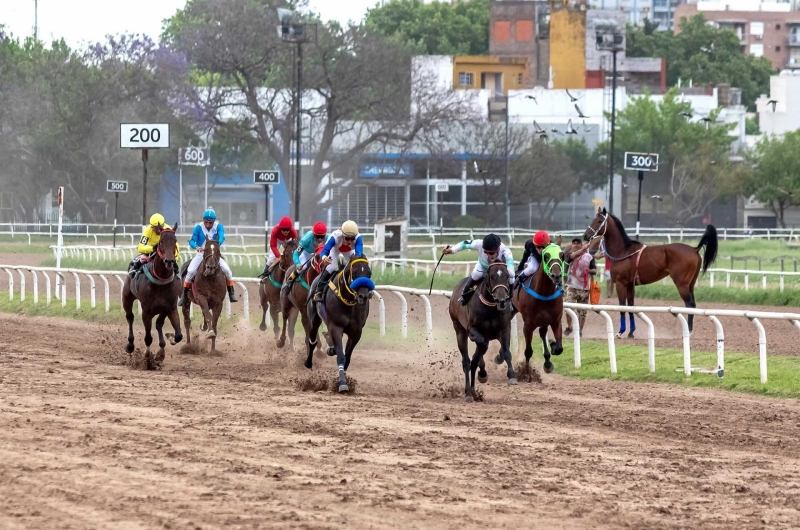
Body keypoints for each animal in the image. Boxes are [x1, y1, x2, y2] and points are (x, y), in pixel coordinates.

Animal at [122, 227, 183, 368]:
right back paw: (130, 345)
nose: (169, 261)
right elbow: (148, 338)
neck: (160, 280)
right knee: (130, 317)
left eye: (175, 240)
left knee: (159, 323)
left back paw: (161, 351)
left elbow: (178, 335)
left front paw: (169, 339)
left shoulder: (171, 307)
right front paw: (148, 357)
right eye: (161, 241)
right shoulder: (146, 311)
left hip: (163, 309)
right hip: (127, 297)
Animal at [304, 254, 376, 394]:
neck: (348, 301)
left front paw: (342, 380)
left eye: (369, 273)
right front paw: (342, 383)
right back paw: (309, 362)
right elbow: (341, 356)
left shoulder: (356, 333)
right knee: (312, 341)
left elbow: (347, 357)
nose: (363, 296)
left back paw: (331, 347)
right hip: (314, 318)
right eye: (354, 273)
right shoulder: (336, 327)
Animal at [510, 242, 564, 372]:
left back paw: (548, 360)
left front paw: (553, 346)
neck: (544, 293)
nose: (556, 276)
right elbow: (528, 351)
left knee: (542, 332)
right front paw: (525, 372)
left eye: (562, 255)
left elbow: (559, 348)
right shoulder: (528, 325)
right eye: (546, 256)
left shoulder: (555, 321)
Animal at [580, 206, 720, 334]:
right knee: (693, 304)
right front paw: (631, 332)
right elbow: (631, 306)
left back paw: (688, 330)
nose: (585, 236)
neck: (623, 251)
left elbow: (622, 307)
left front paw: (621, 331)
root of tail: (694, 249)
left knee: (690, 304)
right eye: (593, 219)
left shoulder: (621, 284)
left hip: (681, 284)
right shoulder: (630, 285)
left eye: (599, 221)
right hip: (690, 284)